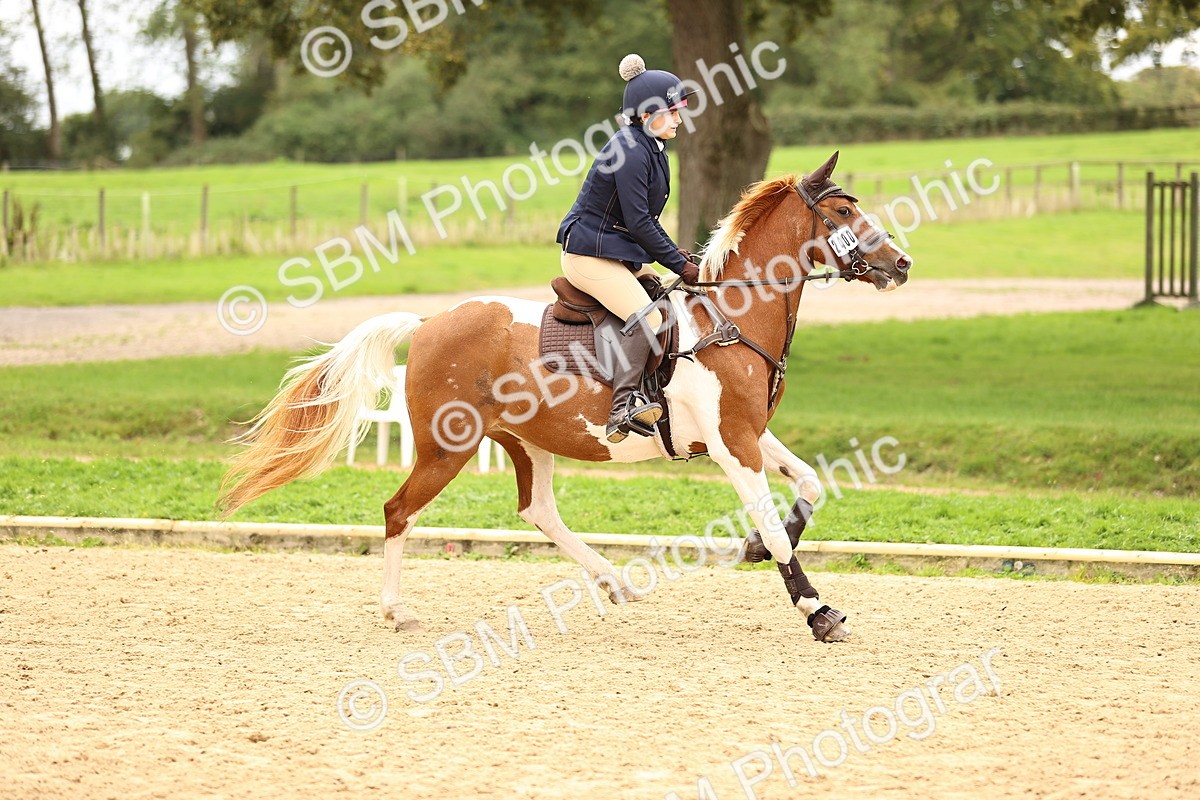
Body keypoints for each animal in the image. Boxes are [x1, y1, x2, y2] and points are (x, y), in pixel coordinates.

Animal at [218, 151, 913, 643]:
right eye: (843, 214)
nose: (902, 265)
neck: (732, 314)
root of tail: (430, 321)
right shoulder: (732, 443)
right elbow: (773, 524)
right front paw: (817, 609)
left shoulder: (748, 434)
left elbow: (809, 486)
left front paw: (759, 548)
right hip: (448, 447)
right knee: (399, 512)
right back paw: (396, 612)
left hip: (528, 441)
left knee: (539, 509)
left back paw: (611, 580)